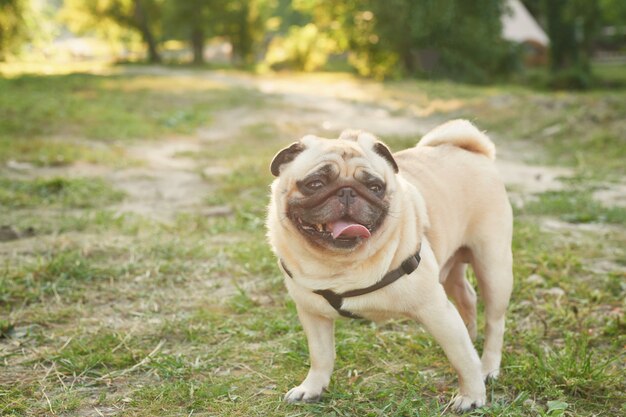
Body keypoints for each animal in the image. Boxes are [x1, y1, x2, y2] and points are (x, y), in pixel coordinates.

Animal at [264, 118, 512, 412]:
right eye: (315, 183)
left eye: (374, 187)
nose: (347, 192)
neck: (341, 264)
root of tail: (473, 151)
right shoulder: (313, 316)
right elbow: (321, 356)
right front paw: (312, 388)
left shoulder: (436, 311)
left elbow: (461, 359)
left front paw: (472, 395)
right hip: (451, 266)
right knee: (467, 298)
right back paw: (471, 336)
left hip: (493, 267)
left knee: (494, 321)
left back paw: (487, 366)